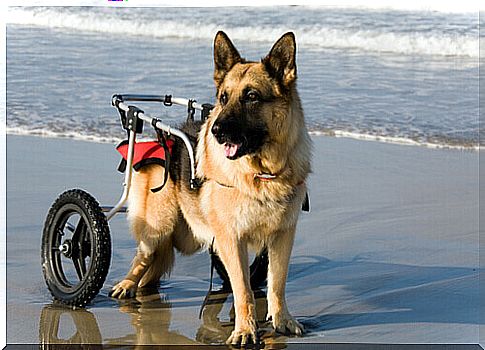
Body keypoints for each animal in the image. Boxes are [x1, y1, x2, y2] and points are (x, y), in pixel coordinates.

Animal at [110, 31, 312, 346]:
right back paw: (127, 284)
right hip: (158, 225)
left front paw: (282, 321)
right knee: (142, 256)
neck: (261, 173)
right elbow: (243, 290)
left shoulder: (282, 237)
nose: (216, 131)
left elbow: (276, 283)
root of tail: (165, 137)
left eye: (252, 97)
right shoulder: (231, 238)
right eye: (223, 98)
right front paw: (245, 330)